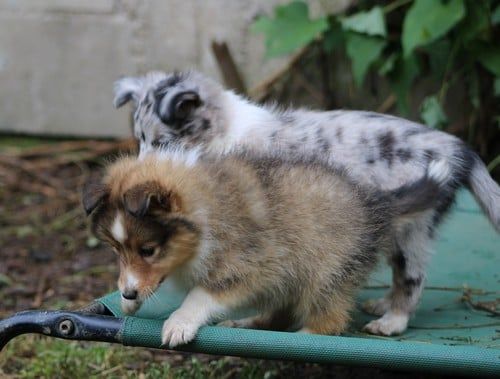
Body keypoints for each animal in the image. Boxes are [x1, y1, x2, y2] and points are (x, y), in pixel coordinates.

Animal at [84, 148, 452, 348]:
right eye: (116, 251)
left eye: (148, 250)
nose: (128, 293)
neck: (205, 211)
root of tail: (376, 203)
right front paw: (127, 302)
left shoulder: (245, 264)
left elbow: (200, 295)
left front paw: (179, 323)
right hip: (289, 276)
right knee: (281, 312)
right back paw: (248, 324)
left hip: (325, 271)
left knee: (328, 321)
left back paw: (302, 336)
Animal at [113, 70, 500, 336]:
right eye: (140, 140)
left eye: (163, 143)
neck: (226, 133)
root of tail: (459, 149)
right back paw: (382, 304)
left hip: (411, 232)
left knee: (412, 278)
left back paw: (392, 320)